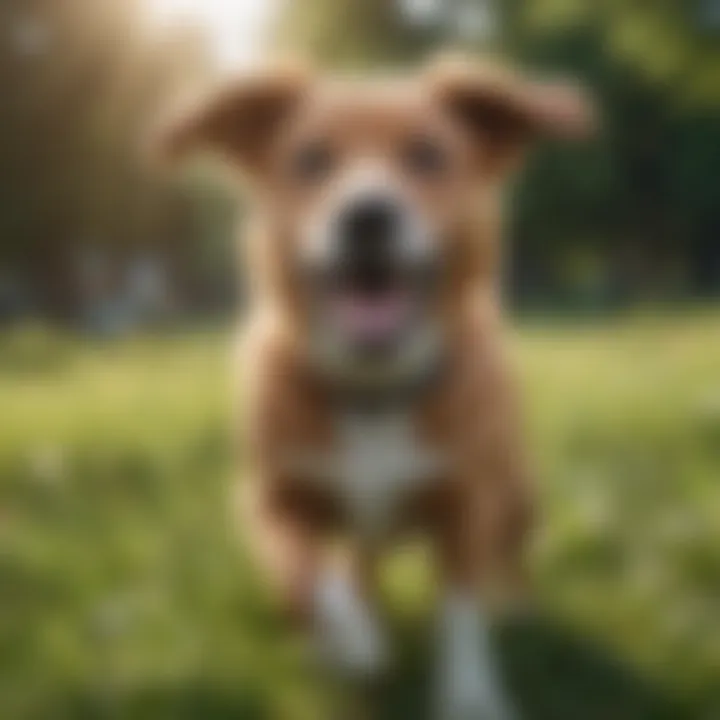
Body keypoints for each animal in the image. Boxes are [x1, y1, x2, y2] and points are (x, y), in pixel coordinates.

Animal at [160, 57, 592, 720]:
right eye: (311, 158)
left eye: (428, 154)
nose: (366, 215)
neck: (373, 389)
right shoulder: (271, 502)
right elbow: (308, 578)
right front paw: (351, 643)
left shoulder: (467, 502)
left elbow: (462, 610)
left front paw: (469, 694)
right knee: (348, 565)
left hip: (518, 487)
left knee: (508, 555)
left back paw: (514, 604)